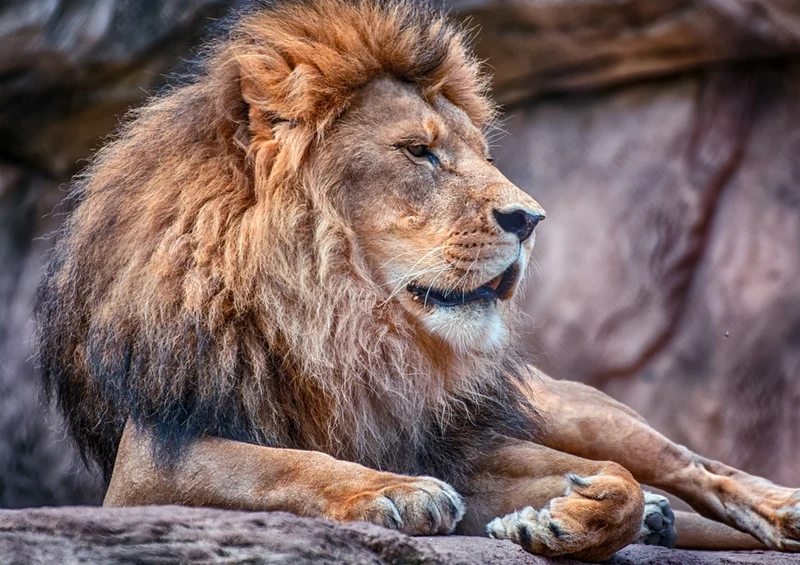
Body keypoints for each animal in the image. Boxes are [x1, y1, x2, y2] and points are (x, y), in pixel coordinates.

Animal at [35, 0, 800, 561]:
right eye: (419, 152)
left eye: (480, 153)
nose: (530, 218)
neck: (341, 326)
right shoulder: (149, 459)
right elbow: (278, 464)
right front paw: (400, 492)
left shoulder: (457, 438)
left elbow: (624, 479)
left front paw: (570, 516)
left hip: (570, 406)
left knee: (683, 462)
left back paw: (775, 510)